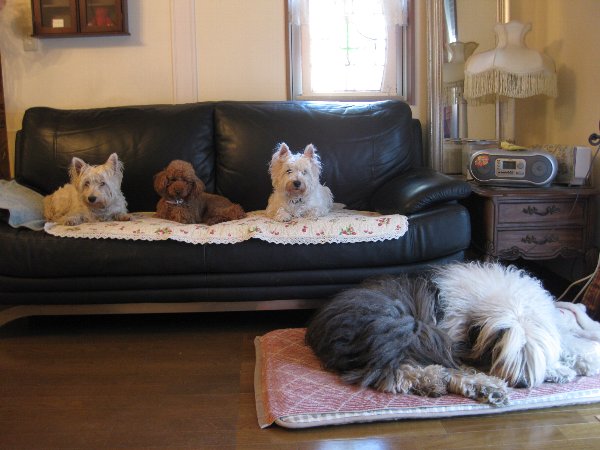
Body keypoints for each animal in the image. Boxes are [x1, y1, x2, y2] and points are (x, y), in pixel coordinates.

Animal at [306, 262, 600, 406]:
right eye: (509, 355)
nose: (522, 384)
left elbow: (568, 343)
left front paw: (569, 366)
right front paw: (565, 368)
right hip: (407, 326)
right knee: (395, 373)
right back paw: (479, 386)